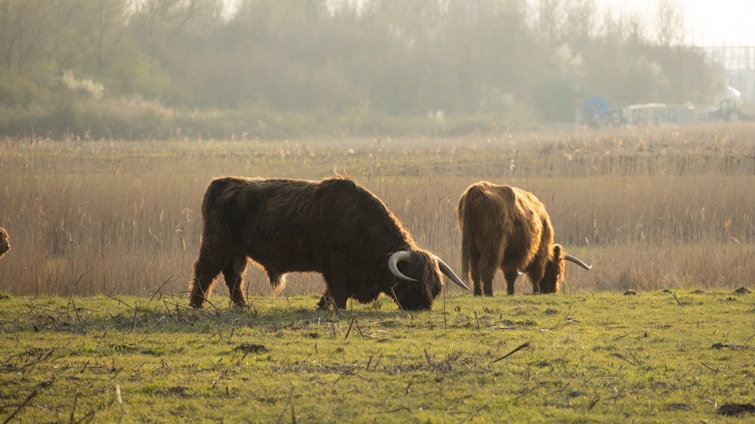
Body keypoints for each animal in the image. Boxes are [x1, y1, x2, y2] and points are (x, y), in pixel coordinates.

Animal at [189, 176, 469, 310]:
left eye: (435, 287)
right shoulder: (335, 266)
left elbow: (329, 292)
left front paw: (322, 306)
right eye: (412, 283)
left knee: (233, 276)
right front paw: (337, 309)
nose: (423, 307)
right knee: (205, 271)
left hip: (236, 252)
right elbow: (338, 291)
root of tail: (221, 182)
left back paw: (241, 305)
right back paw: (196, 304)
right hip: (216, 244)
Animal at [457, 181, 591, 296]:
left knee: (474, 269)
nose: (552, 291)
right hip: (493, 244)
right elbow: (531, 274)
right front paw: (533, 291)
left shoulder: (511, 253)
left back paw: (477, 293)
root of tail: (477, 189)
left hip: (472, 246)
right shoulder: (529, 253)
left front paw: (511, 292)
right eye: (557, 271)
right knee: (486, 266)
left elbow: (510, 273)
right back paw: (489, 293)